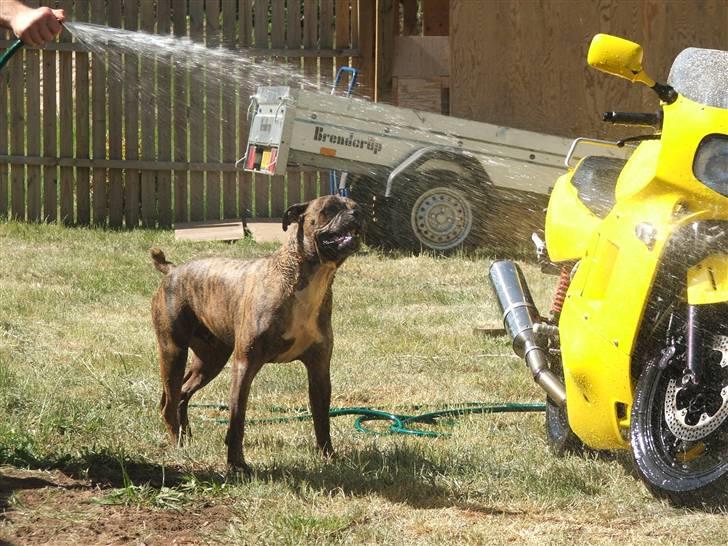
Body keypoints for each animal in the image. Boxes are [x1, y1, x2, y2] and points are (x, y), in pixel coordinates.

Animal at [151, 196, 364, 472]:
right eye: (330, 209)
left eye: (355, 206)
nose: (358, 213)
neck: (304, 276)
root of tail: (172, 269)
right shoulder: (245, 364)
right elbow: (237, 420)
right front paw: (236, 464)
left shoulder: (318, 369)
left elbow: (321, 419)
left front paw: (328, 457)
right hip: (173, 351)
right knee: (169, 402)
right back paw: (177, 443)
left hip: (210, 361)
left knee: (182, 393)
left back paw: (186, 438)